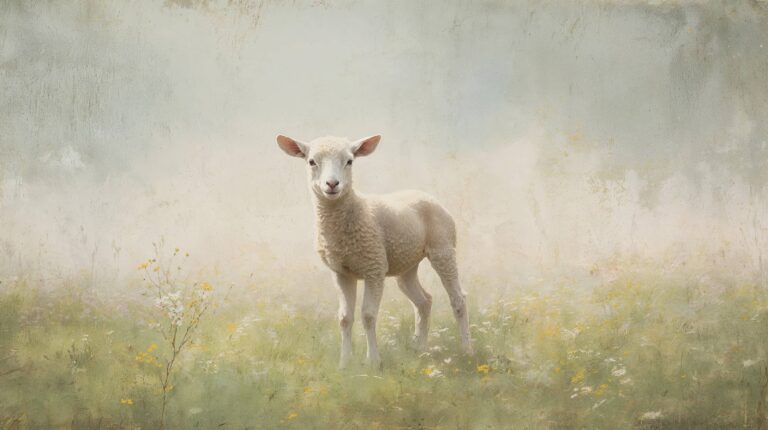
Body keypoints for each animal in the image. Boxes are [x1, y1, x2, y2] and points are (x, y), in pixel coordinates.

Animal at [276, 134, 472, 368]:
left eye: (350, 161)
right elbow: (345, 318)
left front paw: (373, 361)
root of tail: (426, 194)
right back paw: (420, 348)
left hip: (443, 248)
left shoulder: (374, 268)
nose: (332, 184)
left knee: (458, 299)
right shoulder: (341, 273)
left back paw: (466, 349)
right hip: (406, 262)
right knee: (424, 301)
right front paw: (344, 362)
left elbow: (368, 315)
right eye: (311, 161)